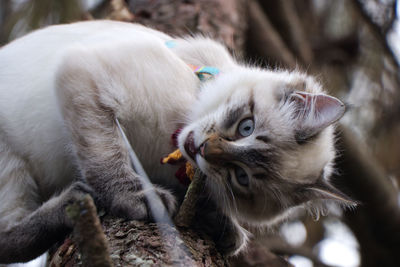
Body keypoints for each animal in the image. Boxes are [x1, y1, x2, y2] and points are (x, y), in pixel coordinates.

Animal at [0, 20, 350, 264]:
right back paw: (75, 200)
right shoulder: (85, 77)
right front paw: (137, 198)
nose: (203, 148)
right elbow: (108, 156)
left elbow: (200, 201)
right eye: (246, 126)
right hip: (9, 166)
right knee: (7, 239)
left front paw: (222, 228)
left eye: (241, 177)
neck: (168, 147)